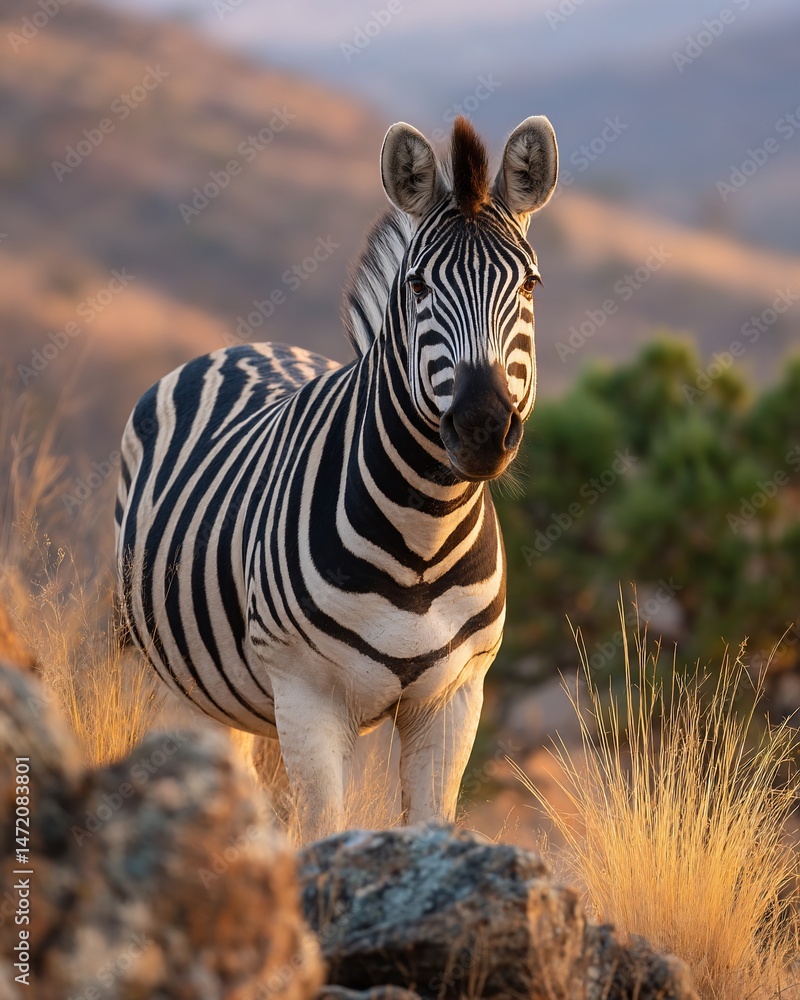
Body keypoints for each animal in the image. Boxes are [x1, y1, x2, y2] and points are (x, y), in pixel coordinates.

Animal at [116, 114, 558, 839]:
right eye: (418, 286)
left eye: (528, 287)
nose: (482, 429)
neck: (423, 532)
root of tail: (244, 346)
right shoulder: (307, 693)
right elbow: (323, 829)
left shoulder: (456, 698)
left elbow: (430, 823)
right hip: (170, 676)